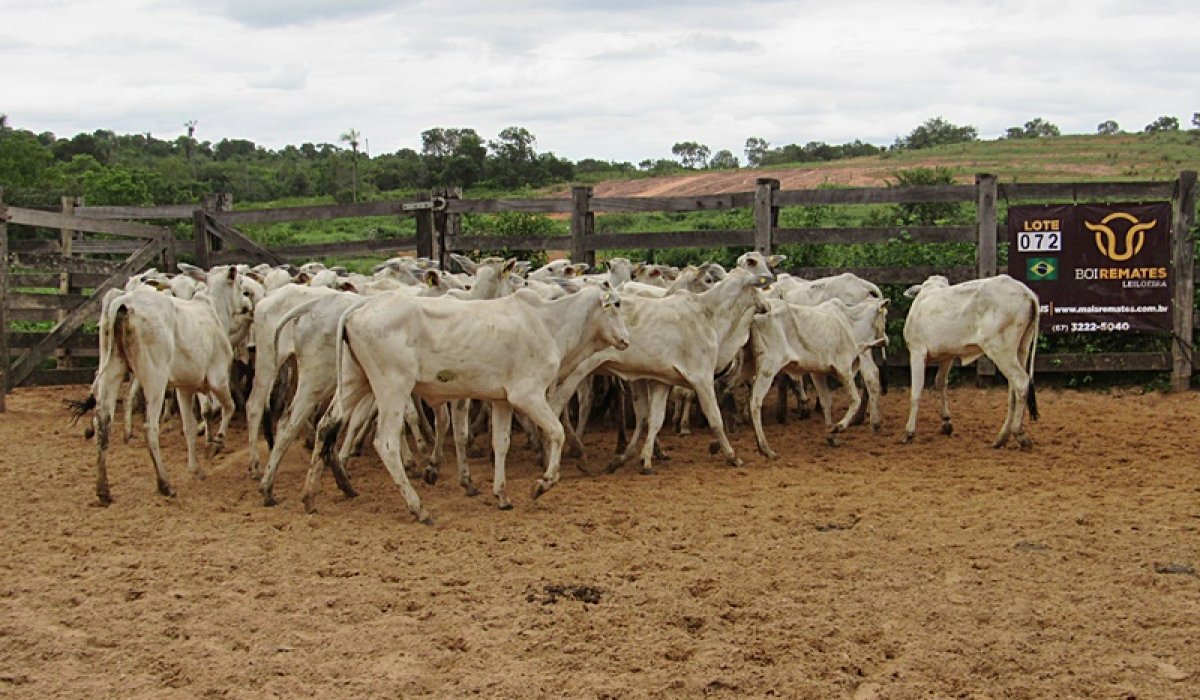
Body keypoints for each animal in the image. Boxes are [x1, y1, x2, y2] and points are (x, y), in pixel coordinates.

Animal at [900, 274, 1040, 448]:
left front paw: (909, 432)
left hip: (1000, 350)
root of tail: (1027, 292)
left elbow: (916, 391)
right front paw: (946, 422)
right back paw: (1002, 437)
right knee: (1013, 389)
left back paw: (1018, 434)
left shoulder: (917, 351)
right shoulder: (947, 356)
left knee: (1021, 383)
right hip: (1021, 349)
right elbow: (940, 382)